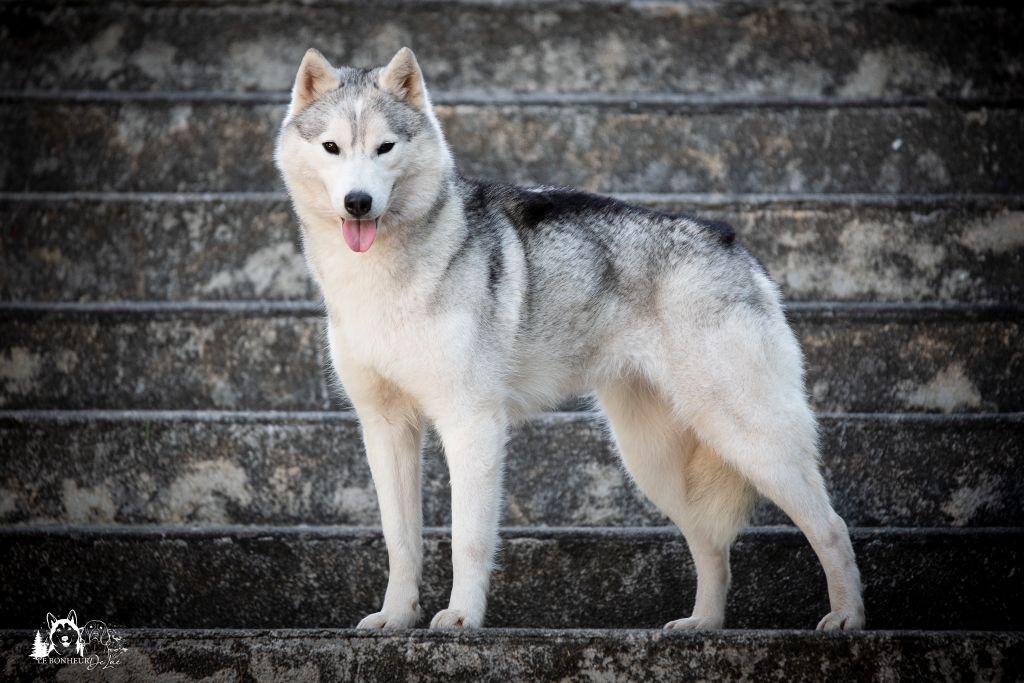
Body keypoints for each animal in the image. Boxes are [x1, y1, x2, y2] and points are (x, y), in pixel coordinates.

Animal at [274, 48, 864, 634]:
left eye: (385, 147)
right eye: (332, 147)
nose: (358, 202)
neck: (381, 280)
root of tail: (734, 244)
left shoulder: (471, 425)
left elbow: (468, 540)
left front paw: (462, 617)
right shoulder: (386, 428)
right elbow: (401, 541)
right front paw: (397, 617)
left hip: (745, 437)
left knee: (831, 526)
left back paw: (846, 617)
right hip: (654, 462)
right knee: (711, 547)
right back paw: (702, 624)